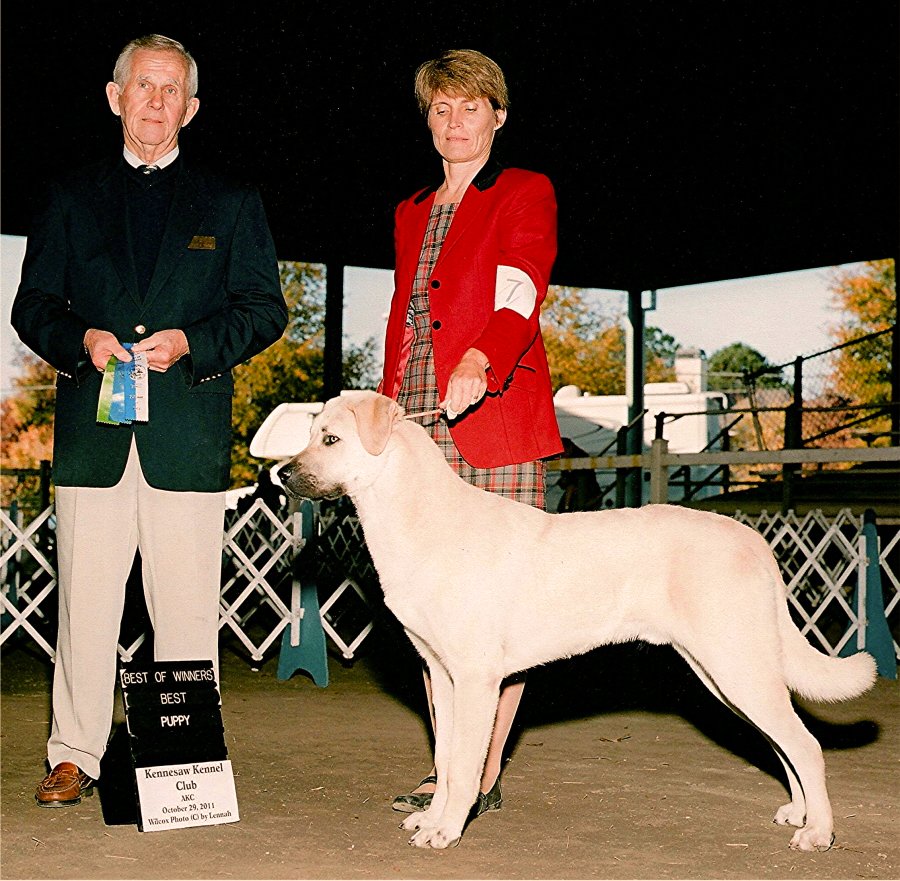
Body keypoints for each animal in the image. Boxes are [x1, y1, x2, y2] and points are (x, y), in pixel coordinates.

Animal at [280, 390, 872, 844]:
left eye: (330, 439)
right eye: (310, 435)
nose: (282, 473)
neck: (416, 514)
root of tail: (753, 540)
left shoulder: (475, 679)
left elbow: (466, 765)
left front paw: (445, 830)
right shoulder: (441, 676)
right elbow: (446, 763)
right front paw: (432, 817)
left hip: (735, 664)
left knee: (805, 745)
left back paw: (818, 832)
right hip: (723, 672)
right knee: (782, 743)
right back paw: (798, 812)